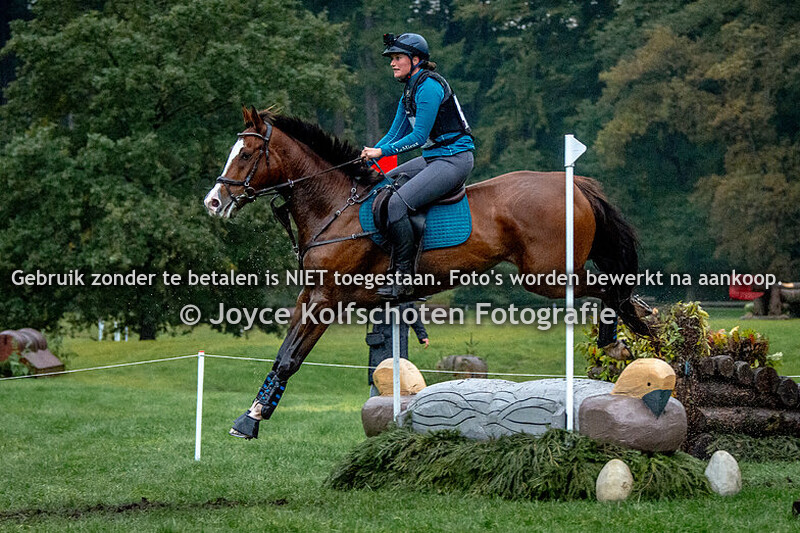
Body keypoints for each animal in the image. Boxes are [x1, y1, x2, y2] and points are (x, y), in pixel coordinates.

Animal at [204, 106, 649, 439]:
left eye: (245, 155)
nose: (213, 201)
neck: (337, 207)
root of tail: (576, 186)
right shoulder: (309, 295)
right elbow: (284, 354)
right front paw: (252, 416)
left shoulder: (327, 299)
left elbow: (290, 359)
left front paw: (252, 420)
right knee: (616, 289)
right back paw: (640, 326)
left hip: (547, 275)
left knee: (610, 286)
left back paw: (617, 341)